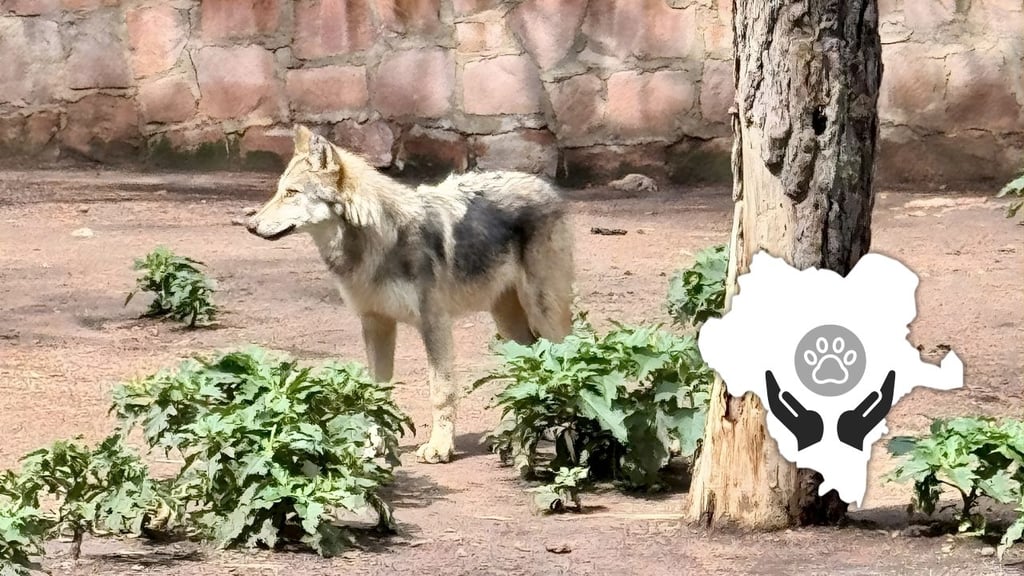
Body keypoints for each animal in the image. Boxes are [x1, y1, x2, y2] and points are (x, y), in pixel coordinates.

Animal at [246, 125, 575, 463]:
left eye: (292, 193)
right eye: (279, 191)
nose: (251, 225)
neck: (377, 242)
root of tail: (545, 186)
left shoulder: (434, 323)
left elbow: (441, 390)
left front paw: (440, 447)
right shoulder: (375, 323)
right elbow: (375, 392)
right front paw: (374, 446)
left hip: (543, 313)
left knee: (567, 356)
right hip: (508, 322)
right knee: (528, 367)